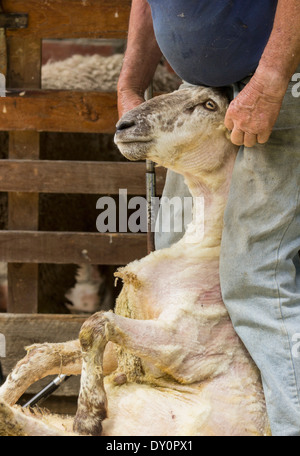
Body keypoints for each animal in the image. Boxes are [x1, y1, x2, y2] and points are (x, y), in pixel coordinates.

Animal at [0, 85, 270, 438]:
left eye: (209, 105)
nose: (123, 124)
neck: (203, 244)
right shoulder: (123, 354)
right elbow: (46, 354)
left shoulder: (186, 345)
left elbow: (94, 325)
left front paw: (88, 414)